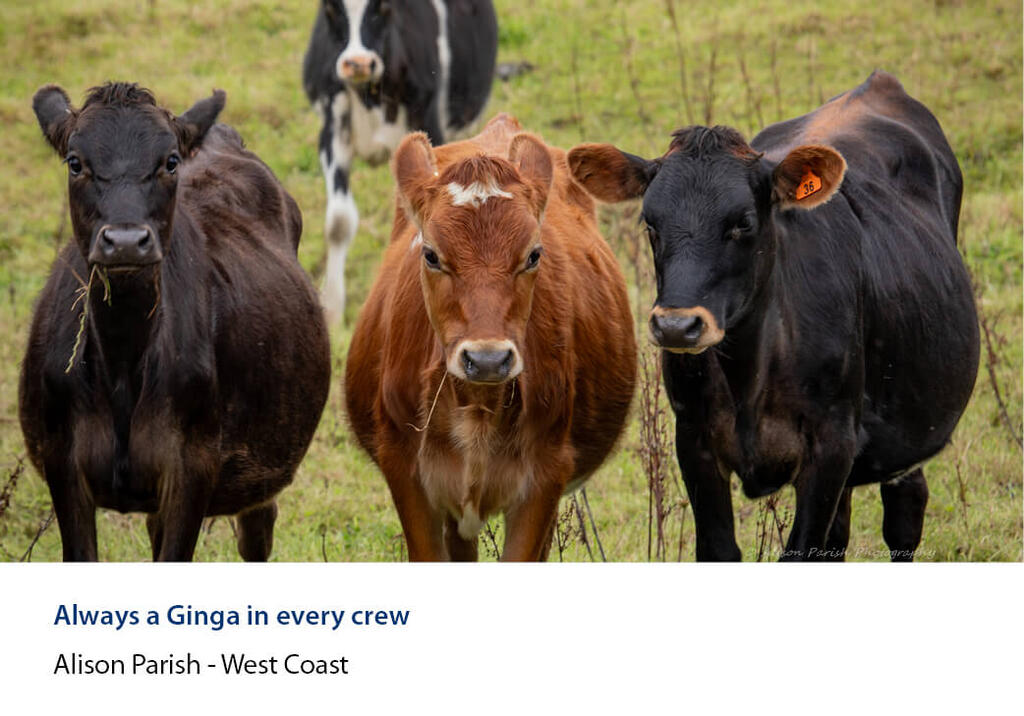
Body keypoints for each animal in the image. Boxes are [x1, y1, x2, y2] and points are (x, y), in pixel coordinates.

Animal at [20, 83, 331, 561]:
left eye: (168, 162)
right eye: (75, 162)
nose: (125, 241)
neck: (123, 360)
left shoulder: (193, 469)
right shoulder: (62, 465)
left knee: (257, 531)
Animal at [303, 0, 499, 324]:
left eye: (383, 7)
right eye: (330, 8)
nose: (358, 62)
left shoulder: (430, 126)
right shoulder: (331, 132)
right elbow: (339, 221)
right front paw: (331, 308)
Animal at [345, 114, 637, 561]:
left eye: (533, 254)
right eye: (431, 254)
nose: (486, 360)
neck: (477, 406)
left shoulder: (545, 478)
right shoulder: (404, 471)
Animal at [568, 71, 979, 561]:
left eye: (743, 221)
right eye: (650, 223)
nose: (676, 326)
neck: (751, 373)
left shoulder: (831, 445)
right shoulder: (694, 439)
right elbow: (720, 548)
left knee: (904, 513)